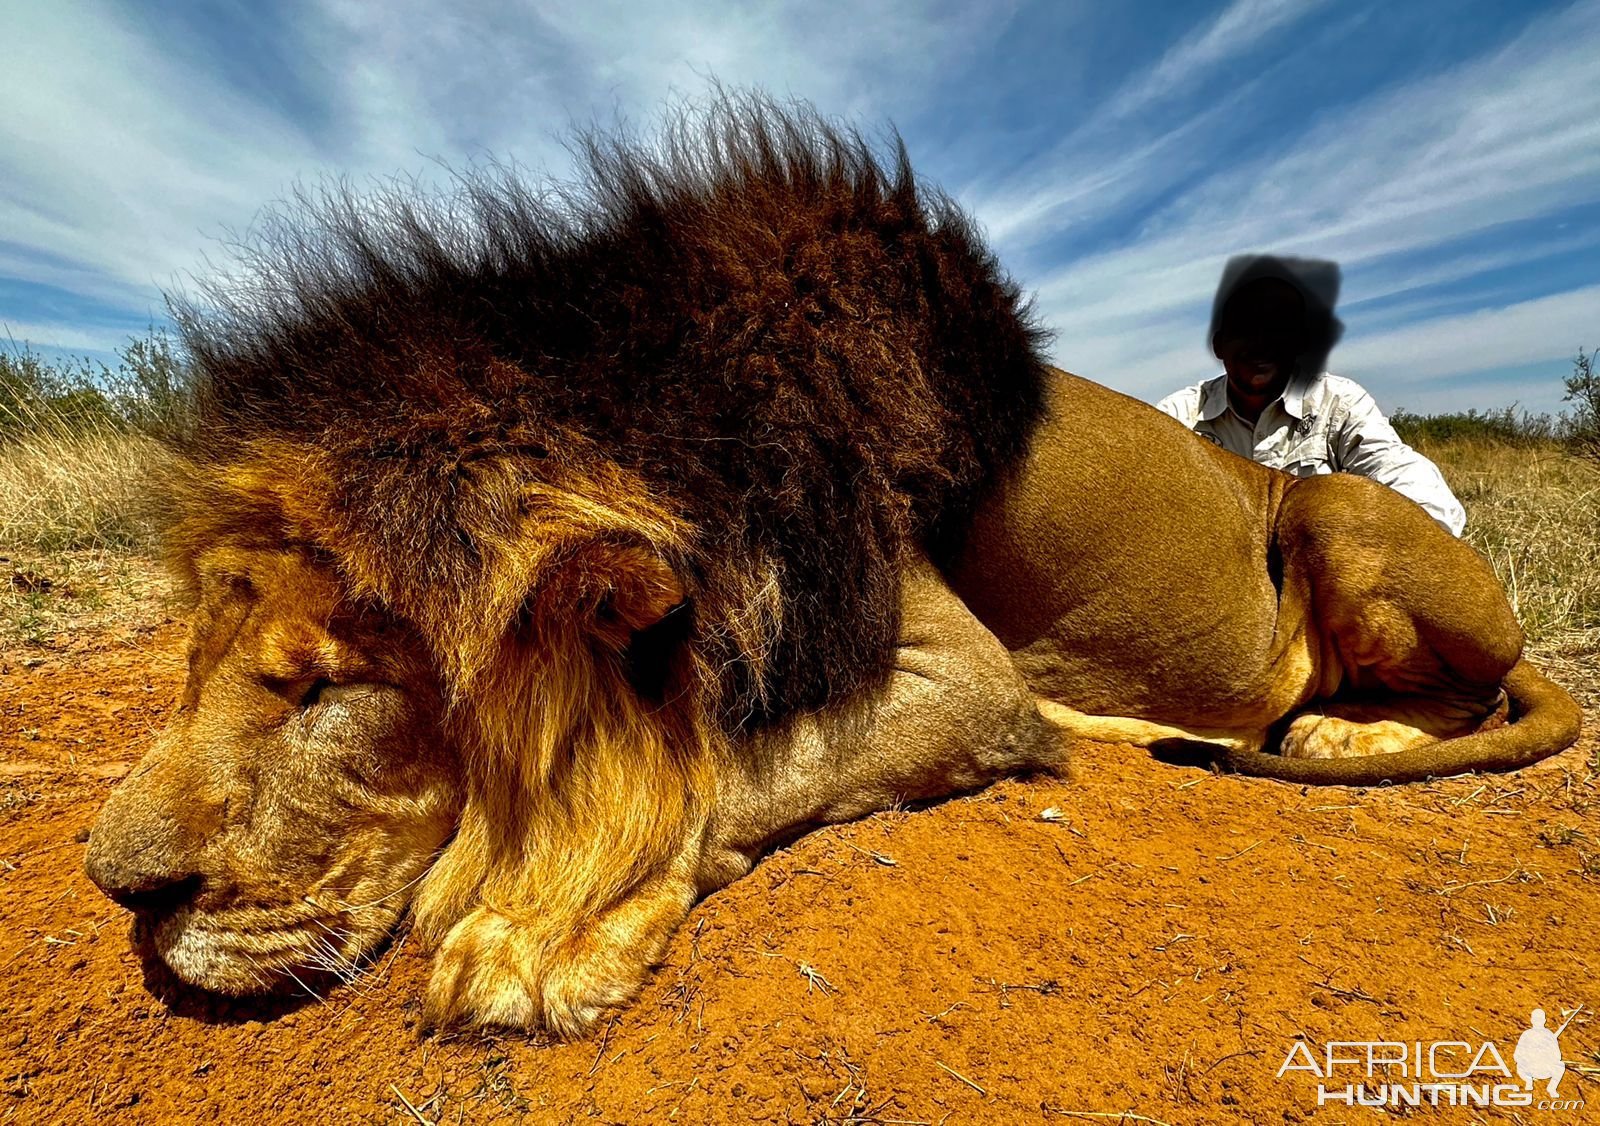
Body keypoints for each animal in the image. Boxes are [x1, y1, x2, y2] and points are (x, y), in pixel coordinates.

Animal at [84, 92, 1574, 1036]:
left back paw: (1336, 730)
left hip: (1334, 515)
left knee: (1455, 688)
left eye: (324, 688)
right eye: (199, 662)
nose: (118, 891)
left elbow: (732, 766)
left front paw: (531, 925)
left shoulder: (967, 675)